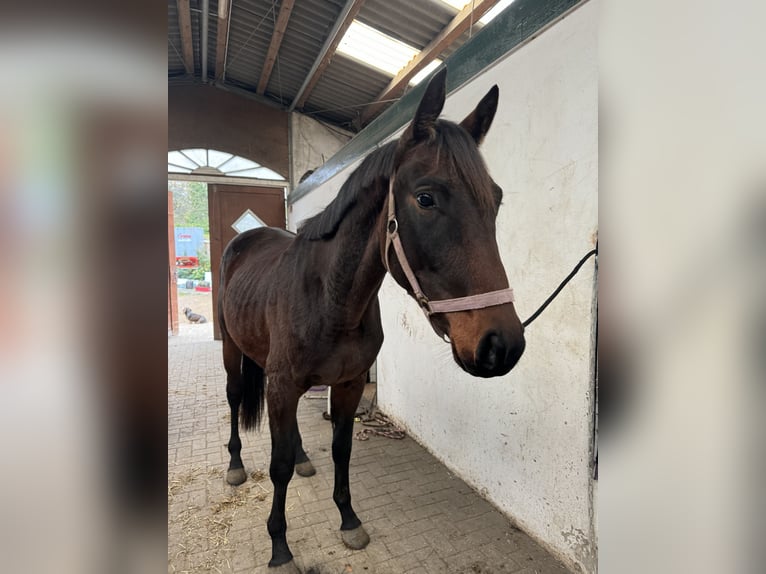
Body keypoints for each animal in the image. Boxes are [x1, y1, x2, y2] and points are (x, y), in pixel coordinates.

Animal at [219, 70, 524, 572]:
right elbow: (277, 467)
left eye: (495, 200)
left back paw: (303, 457)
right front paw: (280, 546)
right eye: (425, 198)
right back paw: (235, 465)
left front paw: (348, 520)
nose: (502, 344)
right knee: (232, 398)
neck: (330, 300)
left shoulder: (349, 383)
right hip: (232, 351)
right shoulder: (283, 383)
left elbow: (341, 450)